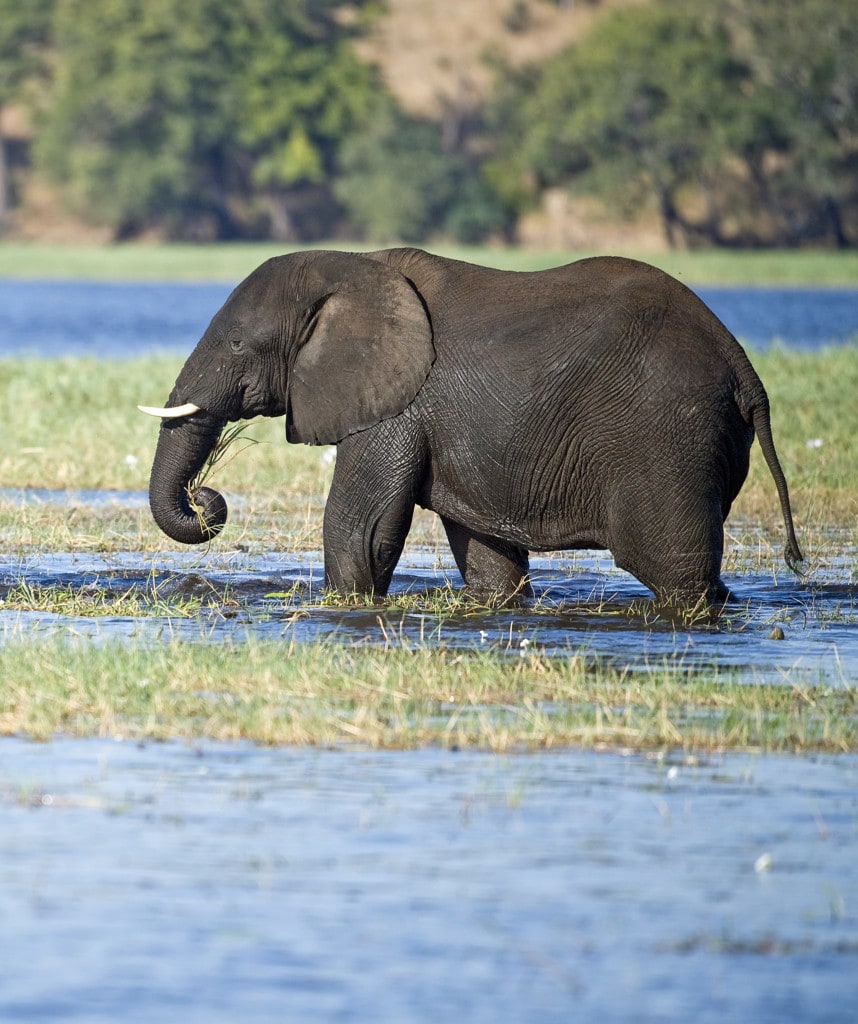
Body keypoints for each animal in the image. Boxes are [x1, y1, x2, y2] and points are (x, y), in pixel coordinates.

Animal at [139, 247, 802, 606]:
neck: (351, 267)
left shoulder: (397, 402)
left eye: (236, 343)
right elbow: (489, 564)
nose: (204, 497)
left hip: (667, 439)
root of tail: (743, 367)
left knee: (678, 573)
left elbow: (359, 529)